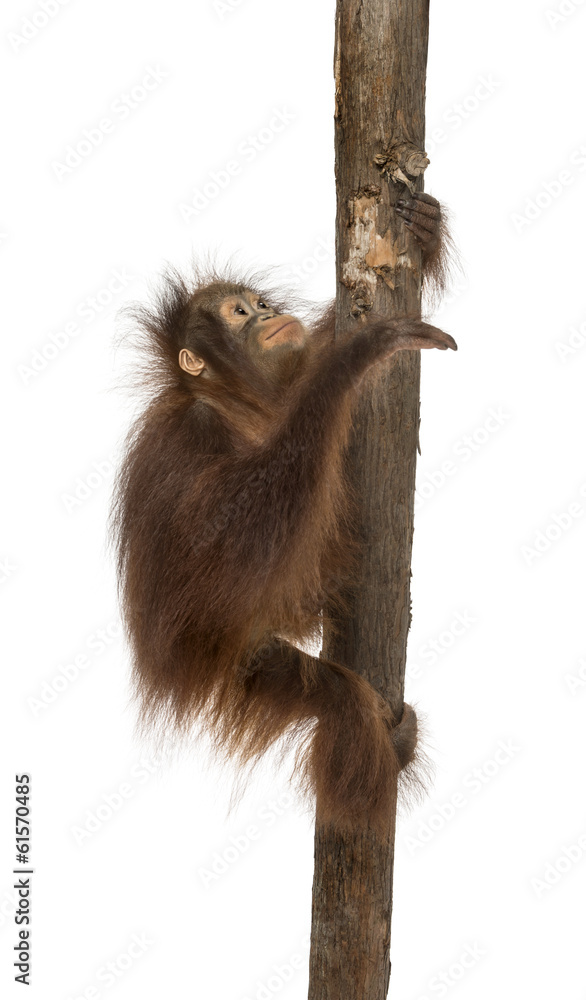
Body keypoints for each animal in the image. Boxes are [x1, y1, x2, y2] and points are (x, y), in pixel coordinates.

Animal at [110, 192, 456, 836]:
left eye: (260, 303)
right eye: (239, 311)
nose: (268, 312)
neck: (235, 402)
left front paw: (425, 227)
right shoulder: (194, 434)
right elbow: (228, 554)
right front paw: (353, 357)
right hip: (234, 661)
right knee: (336, 698)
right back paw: (375, 775)